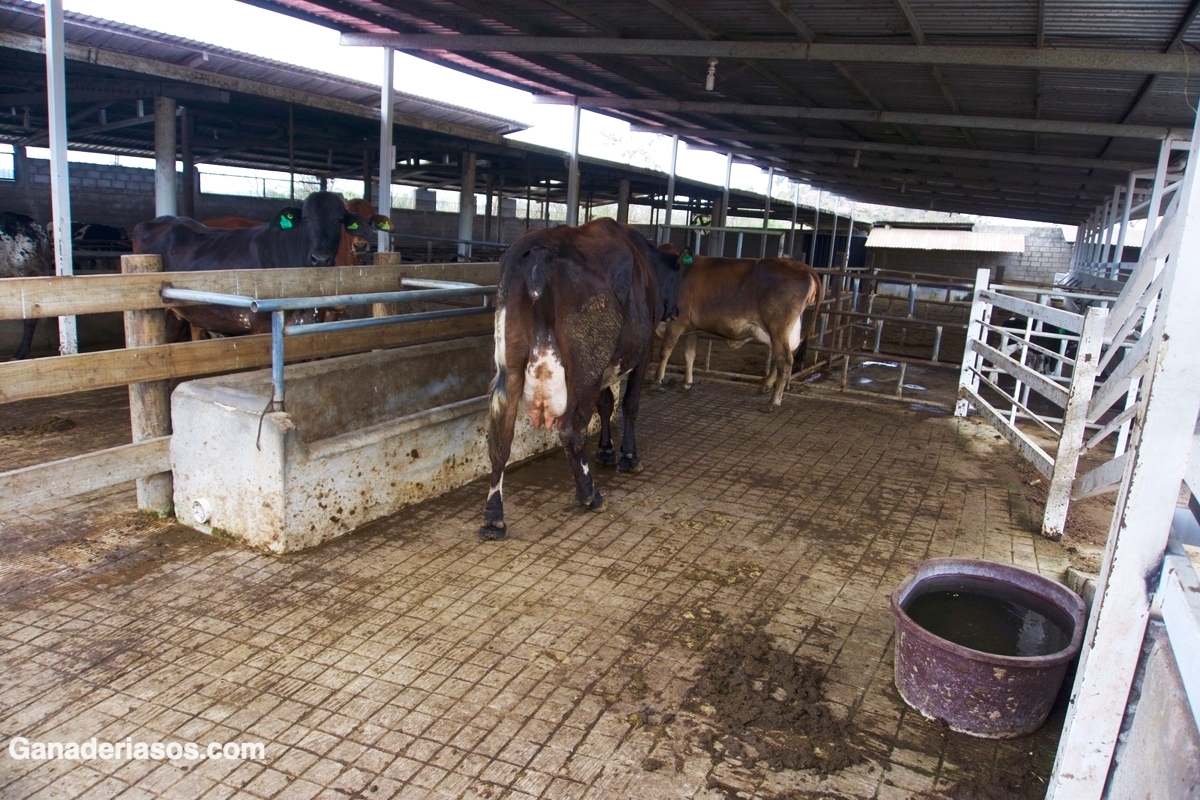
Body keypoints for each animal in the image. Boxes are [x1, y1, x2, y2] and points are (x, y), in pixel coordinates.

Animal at [480, 217, 686, 544]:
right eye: (678, 277)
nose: (675, 309)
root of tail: (543, 243)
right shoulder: (643, 352)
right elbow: (629, 404)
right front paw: (628, 456)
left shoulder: (604, 367)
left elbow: (606, 404)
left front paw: (606, 450)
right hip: (586, 366)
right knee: (571, 430)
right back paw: (590, 495)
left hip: (512, 365)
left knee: (501, 437)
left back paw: (493, 518)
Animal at [648, 247, 825, 410]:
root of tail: (801, 266)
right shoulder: (692, 327)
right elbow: (689, 354)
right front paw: (686, 382)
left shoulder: (677, 321)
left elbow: (665, 351)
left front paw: (657, 380)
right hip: (784, 330)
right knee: (781, 356)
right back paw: (765, 386)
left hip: (778, 326)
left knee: (785, 359)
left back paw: (773, 401)